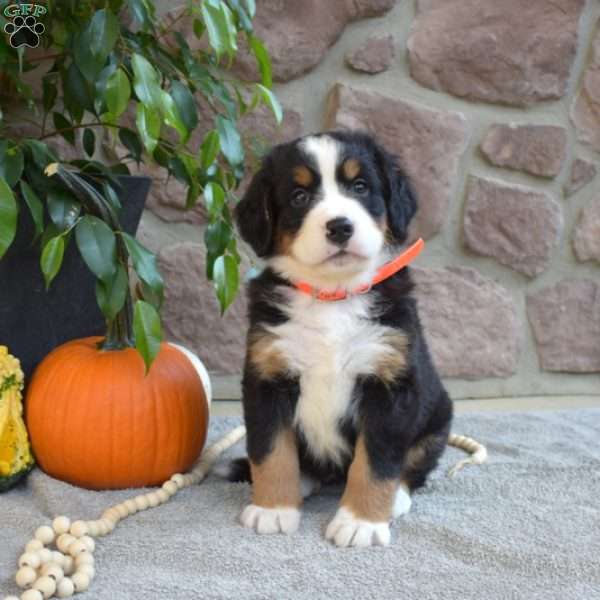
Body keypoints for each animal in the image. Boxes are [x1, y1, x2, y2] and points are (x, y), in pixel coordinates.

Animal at [232, 131, 452, 548]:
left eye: (361, 186)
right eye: (299, 196)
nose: (339, 226)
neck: (332, 296)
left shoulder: (390, 384)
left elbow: (377, 461)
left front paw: (360, 522)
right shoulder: (268, 376)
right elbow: (271, 450)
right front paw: (273, 509)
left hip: (438, 417)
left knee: (414, 464)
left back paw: (397, 498)